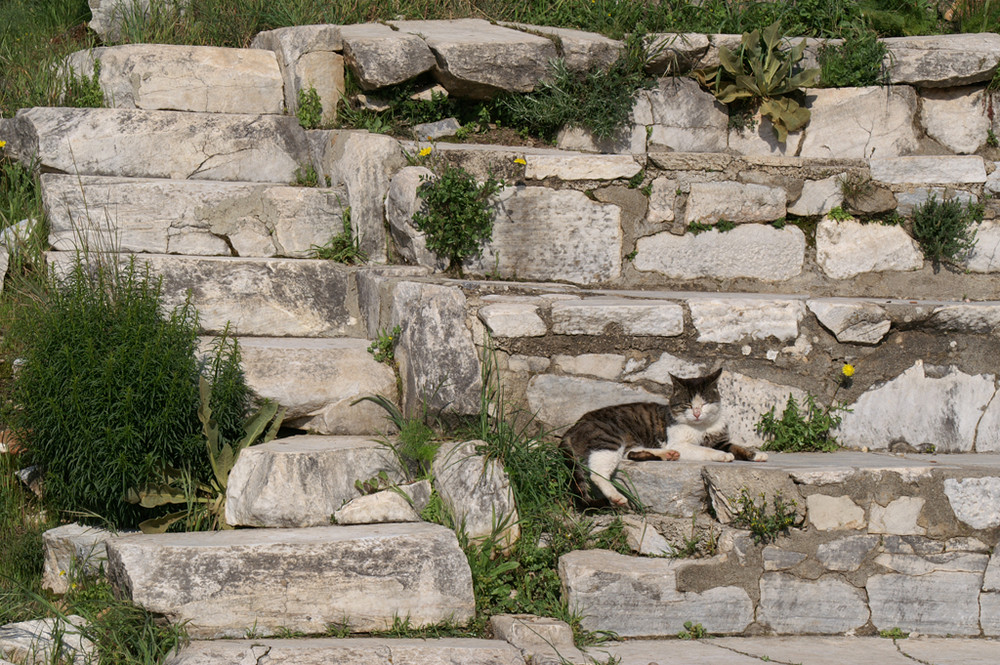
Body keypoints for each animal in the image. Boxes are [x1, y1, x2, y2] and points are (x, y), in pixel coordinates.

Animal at [564, 366, 764, 506]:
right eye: (687, 405)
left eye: (705, 403)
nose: (697, 413)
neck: (701, 428)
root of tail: (574, 426)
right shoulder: (680, 443)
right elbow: (704, 450)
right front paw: (722, 456)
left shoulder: (720, 440)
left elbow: (736, 446)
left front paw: (756, 454)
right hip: (609, 440)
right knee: (597, 474)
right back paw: (616, 497)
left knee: (631, 453)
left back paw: (667, 455)